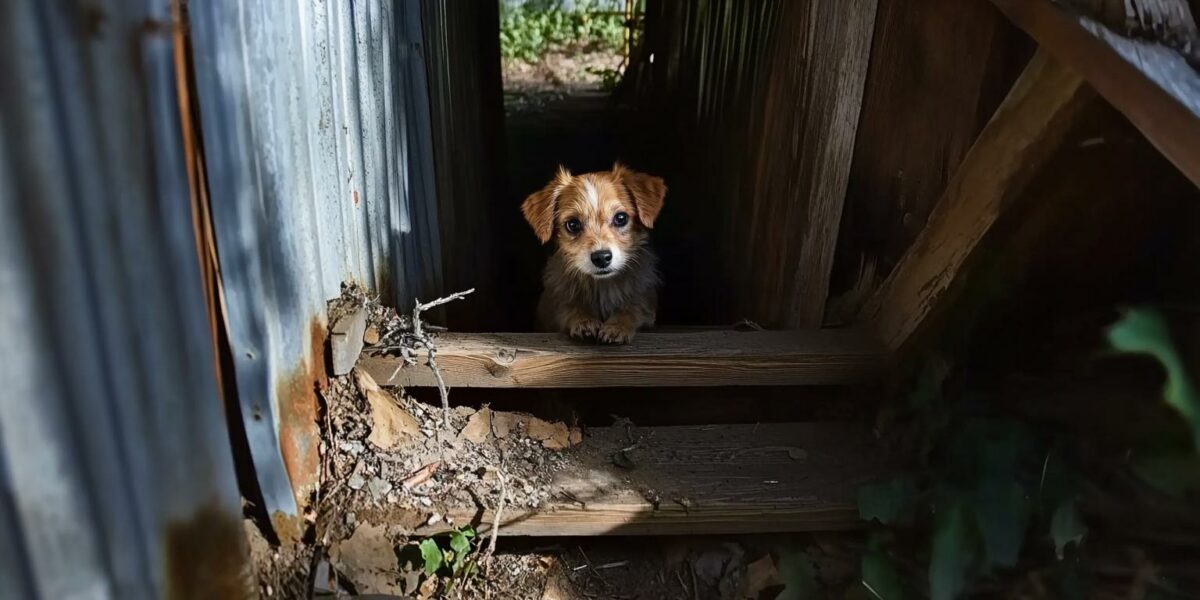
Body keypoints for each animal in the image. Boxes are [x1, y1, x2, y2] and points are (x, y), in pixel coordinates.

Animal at [518, 162, 667, 345]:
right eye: (573, 224)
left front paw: (617, 326)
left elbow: (632, 309)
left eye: (621, 218)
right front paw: (584, 320)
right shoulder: (556, 306)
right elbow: (569, 307)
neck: (601, 285)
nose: (601, 258)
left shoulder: (645, 305)